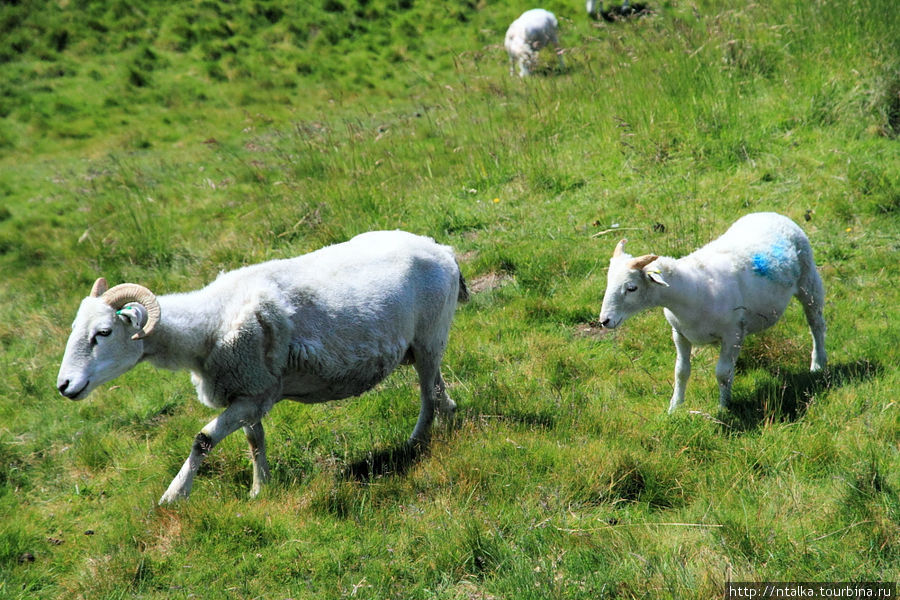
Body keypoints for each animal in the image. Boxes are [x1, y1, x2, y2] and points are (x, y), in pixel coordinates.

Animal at [54, 230, 472, 502]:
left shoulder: (255, 393)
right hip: (423, 344)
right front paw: (260, 488)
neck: (210, 322)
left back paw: (418, 440)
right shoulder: (248, 390)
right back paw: (449, 417)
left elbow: (202, 439)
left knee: (427, 393)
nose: (64, 386)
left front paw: (174, 496)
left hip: (430, 334)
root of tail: (443, 249)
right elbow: (255, 440)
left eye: (103, 332)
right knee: (436, 385)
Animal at [600, 213, 828, 414]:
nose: (604, 321)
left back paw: (818, 363)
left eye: (631, 288)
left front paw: (723, 407)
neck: (692, 290)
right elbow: (681, 372)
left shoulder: (732, 334)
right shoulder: (679, 334)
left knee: (816, 324)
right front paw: (674, 408)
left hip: (808, 281)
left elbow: (722, 373)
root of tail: (772, 214)